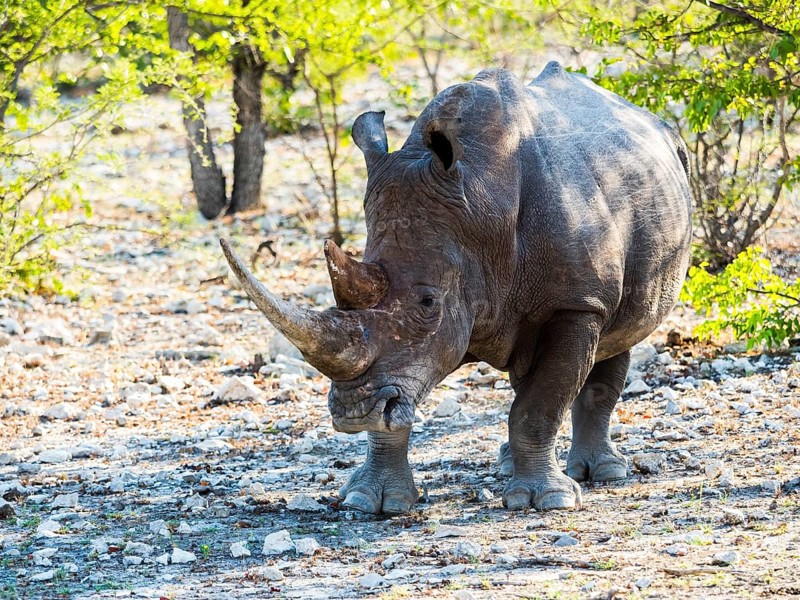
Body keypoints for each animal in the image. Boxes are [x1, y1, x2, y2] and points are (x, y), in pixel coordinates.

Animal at [220, 61, 692, 515]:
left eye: (429, 302)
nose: (354, 411)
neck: (481, 209)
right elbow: (399, 414)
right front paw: (369, 500)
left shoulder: (577, 303)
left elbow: (539, 406)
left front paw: (546, 501)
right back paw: (512, 464)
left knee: (620, 337)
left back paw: (604, 473)